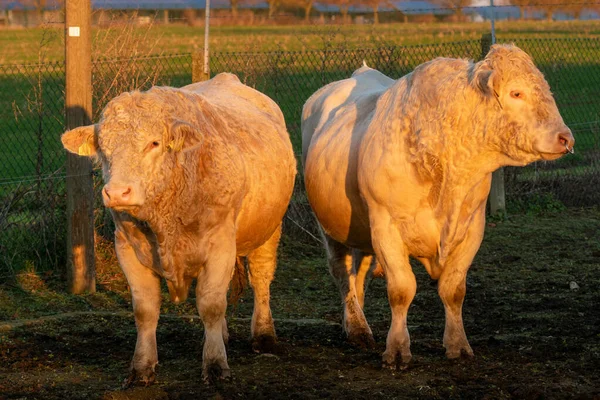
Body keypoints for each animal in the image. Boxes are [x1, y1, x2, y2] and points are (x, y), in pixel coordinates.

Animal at [61, 74, 296, 384]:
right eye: (102, 147)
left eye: (154, 143)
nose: (118, 193)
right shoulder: (127, 247)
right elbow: (146, 310)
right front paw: (142, 366)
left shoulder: (221, 244)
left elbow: (211, 305)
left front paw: (215, 364)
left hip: (269, 229)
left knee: (261, 279)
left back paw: (264, 334)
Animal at [302, 44, 576, 368]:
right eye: (516, 93)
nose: (566, 138)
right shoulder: (385, 226)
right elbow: (401, 289)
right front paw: (397, 350)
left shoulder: (473, 227)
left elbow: (453, 289)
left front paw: (457, 344)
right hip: (330, 227)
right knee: (342, 274)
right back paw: (356, 326)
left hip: (359, 228)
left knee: (360, 274)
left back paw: (358, 322)